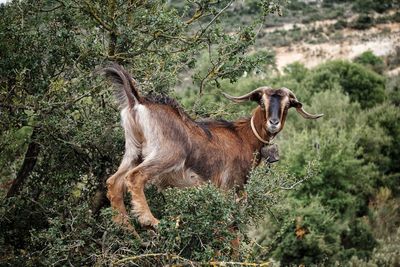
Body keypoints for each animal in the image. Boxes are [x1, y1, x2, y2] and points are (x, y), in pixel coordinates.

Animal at [102, 65, 322, 230]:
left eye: (287, 105)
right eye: (261, 101)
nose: (273, 122)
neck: (243, 136)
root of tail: (137, 101)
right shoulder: (231, 187)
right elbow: (231, 228)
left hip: (133, 150)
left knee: (114, 181)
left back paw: (124, 226)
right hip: (166, 154)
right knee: (134, 177)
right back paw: (150, 220)